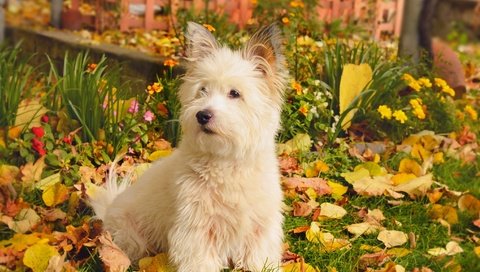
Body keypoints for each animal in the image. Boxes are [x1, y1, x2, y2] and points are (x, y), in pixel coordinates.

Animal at [91, 22, 288, 270]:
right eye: (202, 90)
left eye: (235, 93)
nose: (202, 115)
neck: (226, 161)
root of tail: (108, 209)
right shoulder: (195, 231)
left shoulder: (260, 228)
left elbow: (259, 258)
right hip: (131, 238)